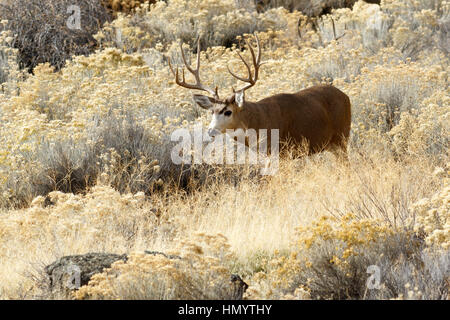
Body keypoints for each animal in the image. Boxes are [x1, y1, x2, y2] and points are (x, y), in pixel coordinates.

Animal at [168, 33, 352, 159]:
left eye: (228, 111)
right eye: (212, 111)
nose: (210, 131)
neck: (257, 123)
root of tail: (346, 97)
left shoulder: (281, 150)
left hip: (342, 138)